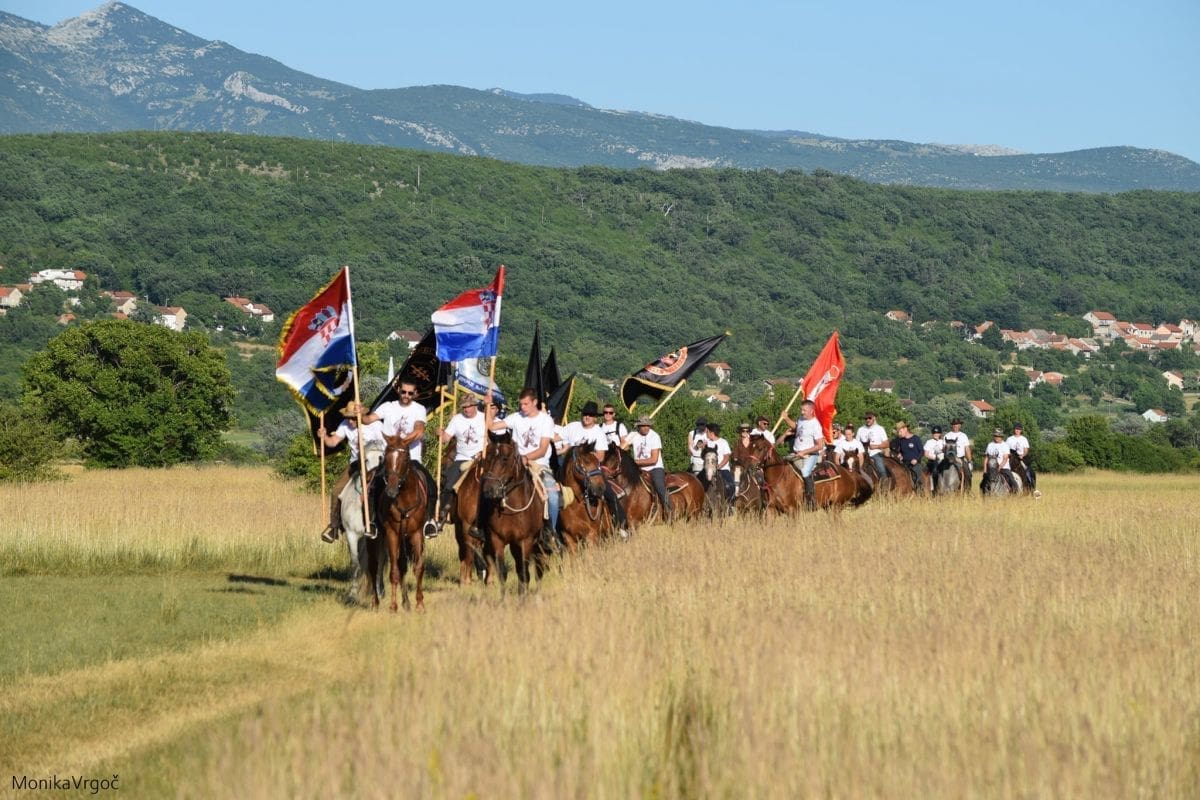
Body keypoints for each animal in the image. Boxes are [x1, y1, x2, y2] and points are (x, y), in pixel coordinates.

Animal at [369, 433, 428, 612]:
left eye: (405, 457)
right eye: (386, 457)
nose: (391, 490)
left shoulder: (416, 533)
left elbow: (418, 567)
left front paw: (419, 604)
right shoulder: (392, 534)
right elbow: (394, 571)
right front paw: (393, 606)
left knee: (402, 565)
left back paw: (406, 602)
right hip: (375, 537)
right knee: (373, 565)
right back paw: (375, 602)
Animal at [478, 432, 546, 594]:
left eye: (505, 458)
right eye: (487, 457)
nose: (489, 490)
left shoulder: (526, 541)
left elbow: (524, 573)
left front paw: (523, 598)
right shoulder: (497, 540)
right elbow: (503, 573)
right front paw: (504, 599)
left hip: (537, 544)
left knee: (538, 569)